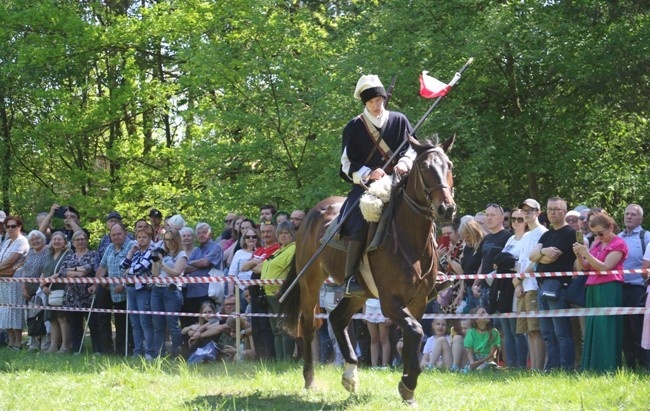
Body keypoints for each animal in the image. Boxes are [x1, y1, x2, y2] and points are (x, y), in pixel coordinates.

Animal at [278, 136, 456, 406]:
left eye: (449, 165)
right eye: (425, 168)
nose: (446, 208)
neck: (409, 239)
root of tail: (313, 213)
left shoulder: (418, 301)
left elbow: (412, 338)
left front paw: (408, 388)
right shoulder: (390, 303)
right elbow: (414, 331)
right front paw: (407, 384)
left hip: (358, 293)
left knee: (337, 319)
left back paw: (350, 374)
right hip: (310, 283)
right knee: (309, 327)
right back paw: (310, 380)